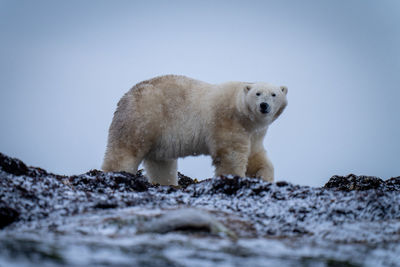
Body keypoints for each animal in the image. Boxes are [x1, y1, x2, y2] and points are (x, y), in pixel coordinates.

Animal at [101, 74, 286, 185]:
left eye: (274, 94)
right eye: (257, 93)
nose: (264, 106)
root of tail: (125, 97)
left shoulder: (255, 133)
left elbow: (256, 156)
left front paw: (265, 177)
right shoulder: (227, 121)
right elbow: (230, 155)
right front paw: (234, 177)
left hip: (158, 135)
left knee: (161, 164)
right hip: (143, 118)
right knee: (124, 151)